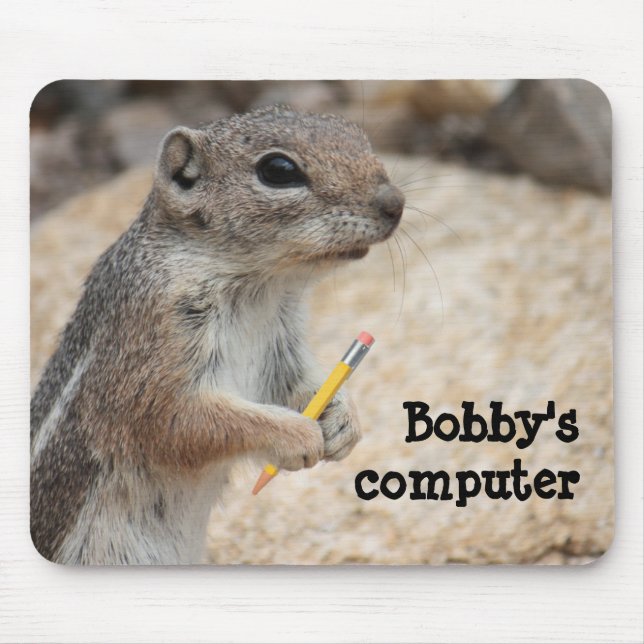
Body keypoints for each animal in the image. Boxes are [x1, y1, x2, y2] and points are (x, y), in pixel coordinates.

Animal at [30, 105, 405, 564]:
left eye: (358, 136)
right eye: (278, 170)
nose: (395, 203)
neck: (261, 289)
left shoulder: (282, 348)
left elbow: (302, 386)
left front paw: (344, 422)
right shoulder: (150, 349)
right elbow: (180, 421)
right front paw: (298, 436)